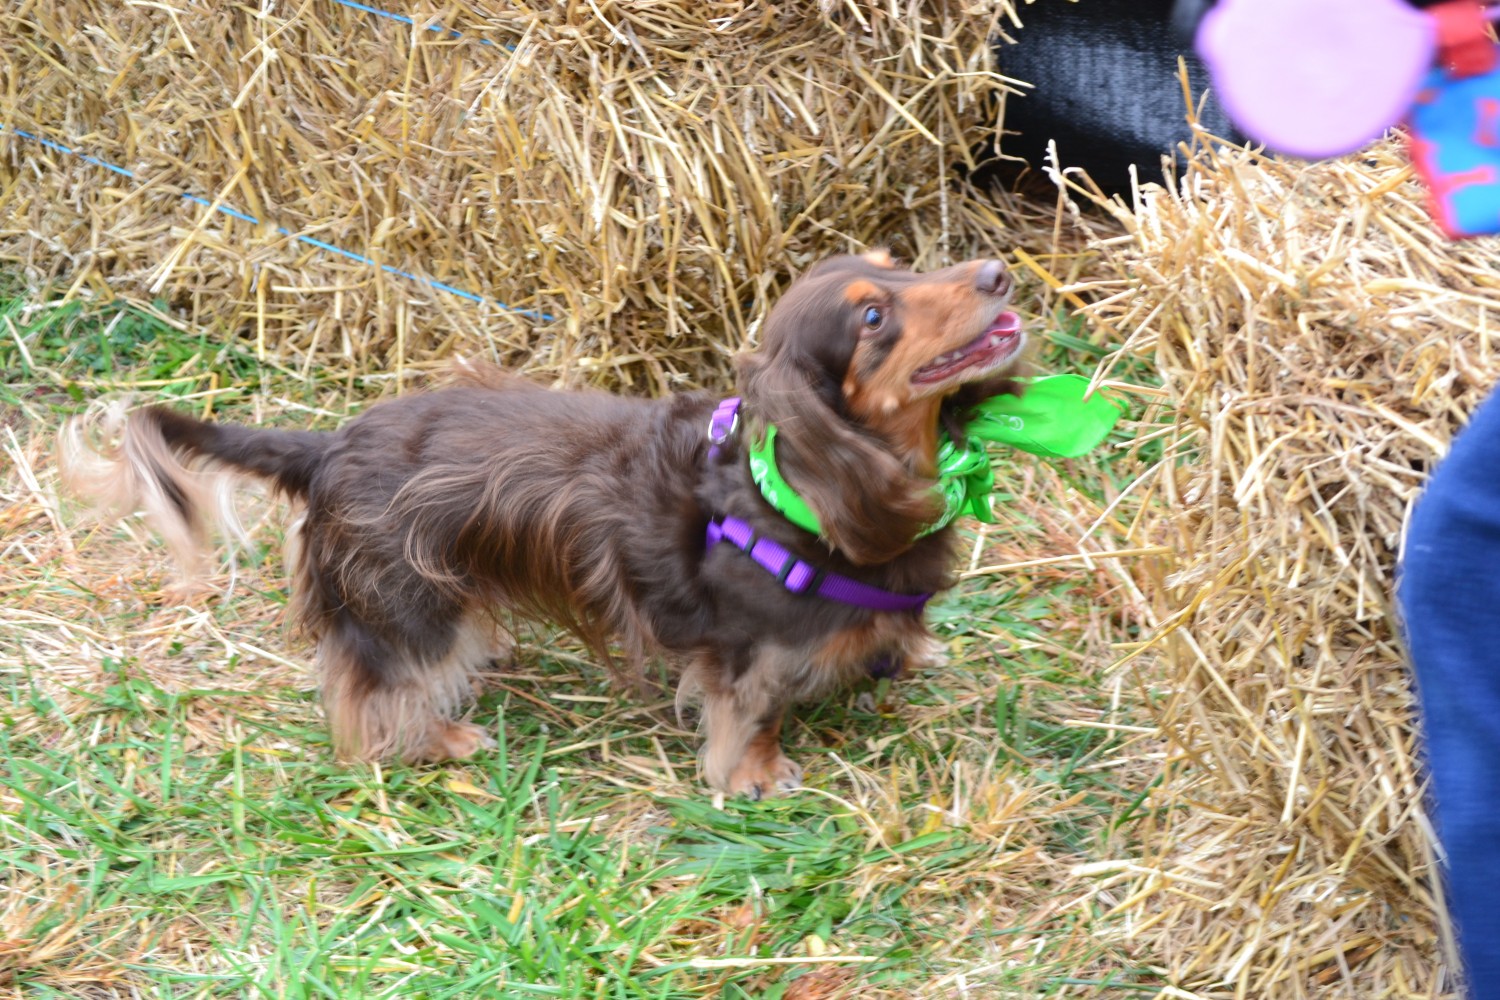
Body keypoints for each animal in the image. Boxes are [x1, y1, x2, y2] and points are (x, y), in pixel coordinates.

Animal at [58, 256, 1020, 797]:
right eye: (872, 317)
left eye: (902, 263)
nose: (997, 273)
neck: (790, 485)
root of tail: (330, 445)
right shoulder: (754, 655)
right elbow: (753, 718)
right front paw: (755, 777)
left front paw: (905, 660)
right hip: (405, 602)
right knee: (372, 691)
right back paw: (437, 739)